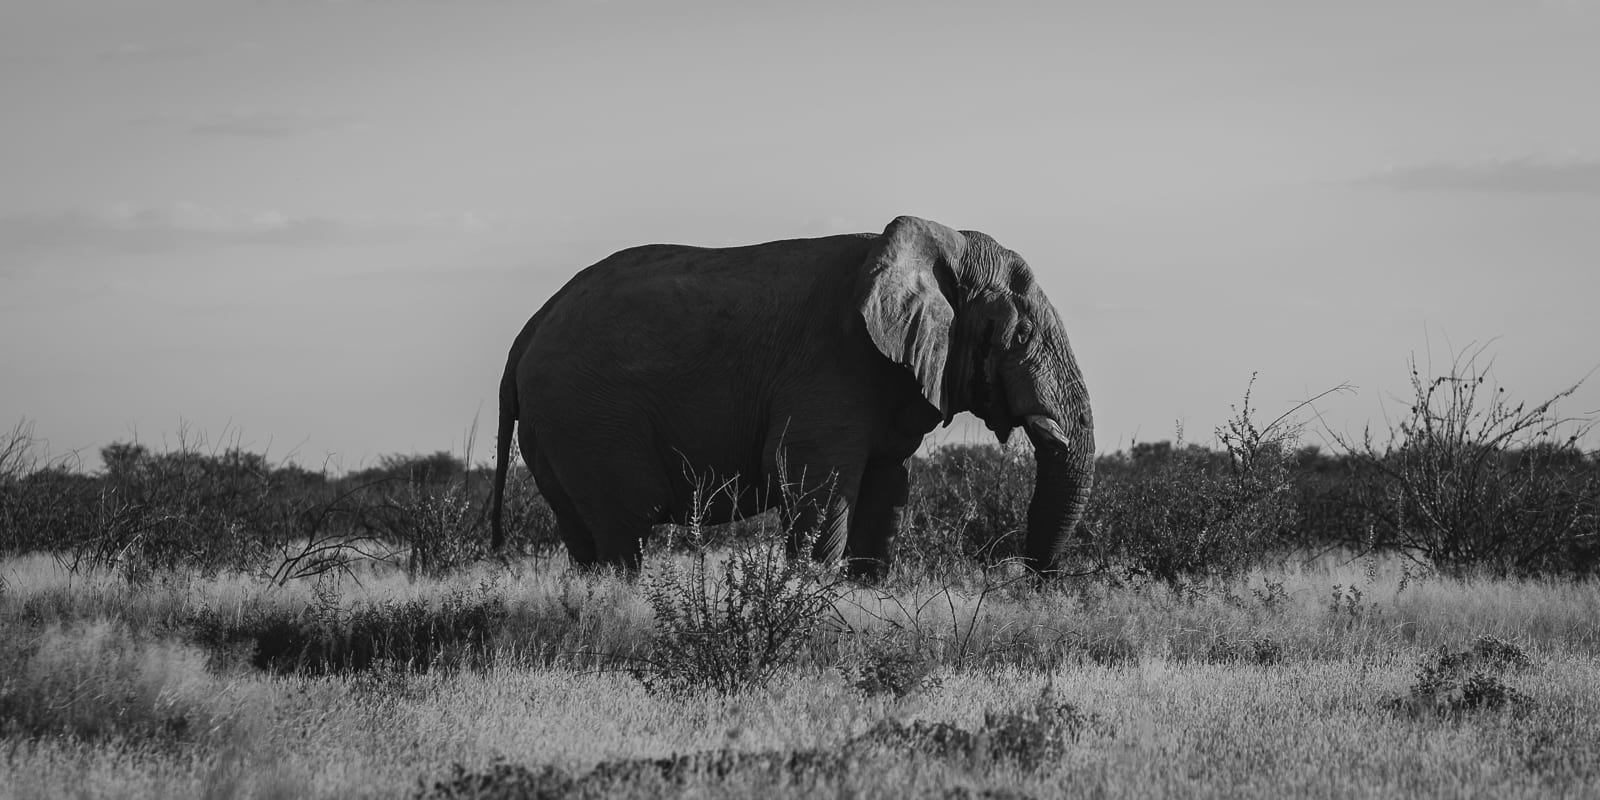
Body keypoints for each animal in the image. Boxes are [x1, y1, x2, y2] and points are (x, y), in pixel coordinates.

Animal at [486, 214, 1088, 576]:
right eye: (1019, 337)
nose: (1032, 580)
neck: (939, 243)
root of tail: (526, 334)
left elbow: (886, 491)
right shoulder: (832, 363)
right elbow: (817, 483)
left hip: (556, 429)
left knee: (585, 539)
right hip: (588, 420)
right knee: (623, 532)